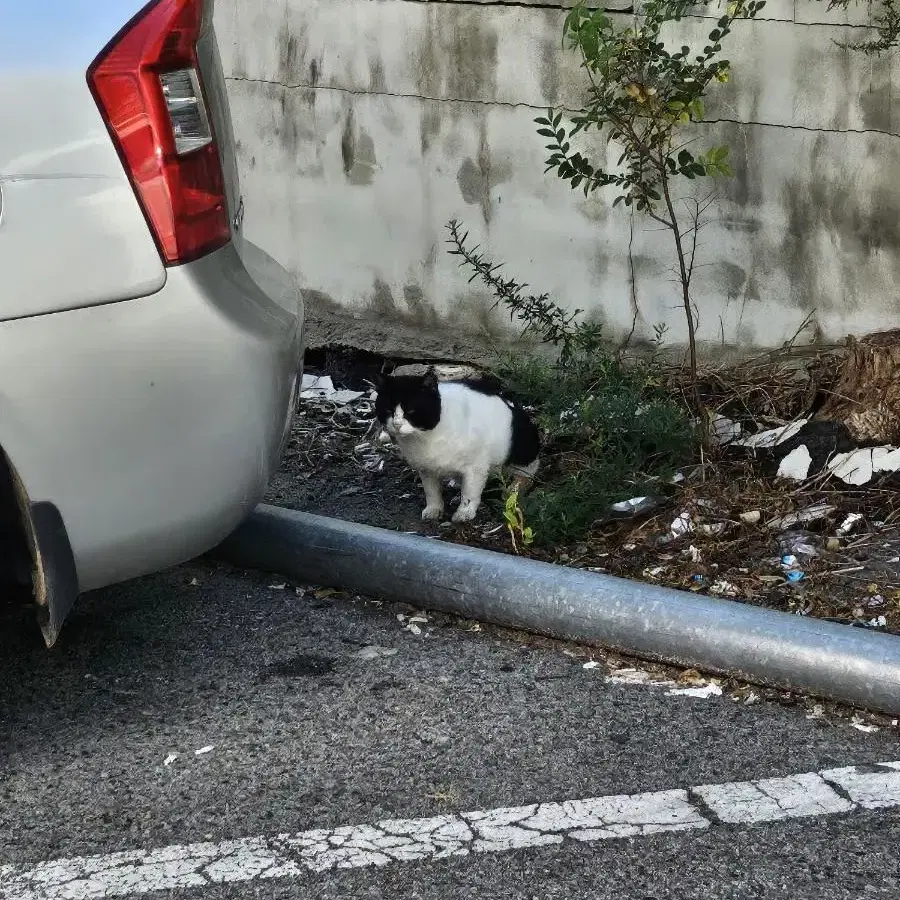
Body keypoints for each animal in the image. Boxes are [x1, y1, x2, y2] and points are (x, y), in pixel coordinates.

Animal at [374, 370, 540, 524]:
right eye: (388, 410)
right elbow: (431, 492)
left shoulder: (475, 468)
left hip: (522, 448)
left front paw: (464, 514)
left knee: (528, 471)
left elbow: (469, 493)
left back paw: (513, 488)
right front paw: (433, 510)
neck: (425, 437)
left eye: (411, 411)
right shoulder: (427, 470)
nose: (396, 424)